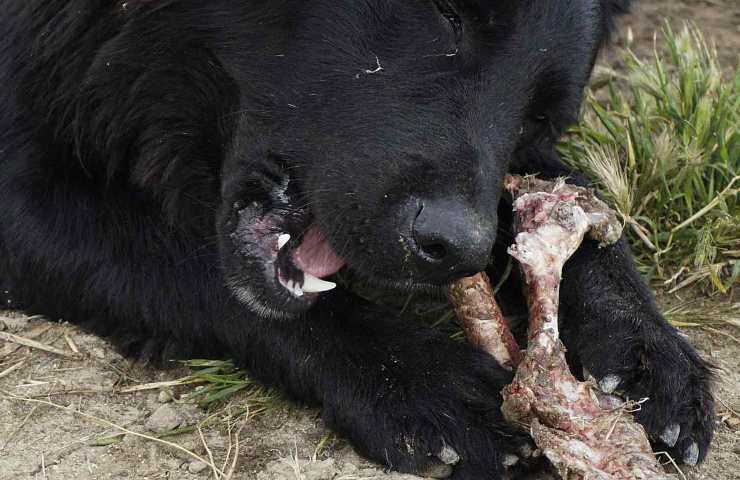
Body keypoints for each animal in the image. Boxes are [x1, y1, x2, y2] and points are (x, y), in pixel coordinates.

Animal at [1, 1, 716, 478]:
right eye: (446, 14)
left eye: (537, 115)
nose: (459, 248)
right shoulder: (22, 198)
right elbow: (199, 272)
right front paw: (415, 378)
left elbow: (578, 195)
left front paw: (644, 344)